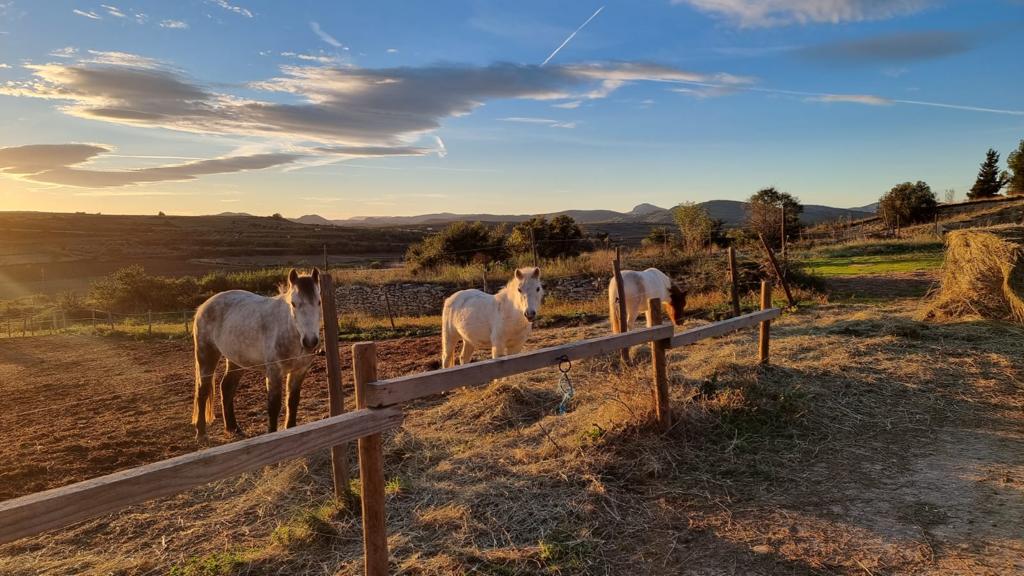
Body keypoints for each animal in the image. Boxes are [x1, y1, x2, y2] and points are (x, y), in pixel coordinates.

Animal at [192, 268, 322, 441]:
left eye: (319, 302)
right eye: (293, 304)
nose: (310, 341)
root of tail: (203, 306)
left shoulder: (299, 371)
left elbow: (293, 401)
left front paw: (292, 429)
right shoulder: (274, 373)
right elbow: (274, 405)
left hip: (236, 361)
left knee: (226, 387)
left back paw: (233, 428)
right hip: (206, 355)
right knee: (203, 390)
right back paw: (201, 433)